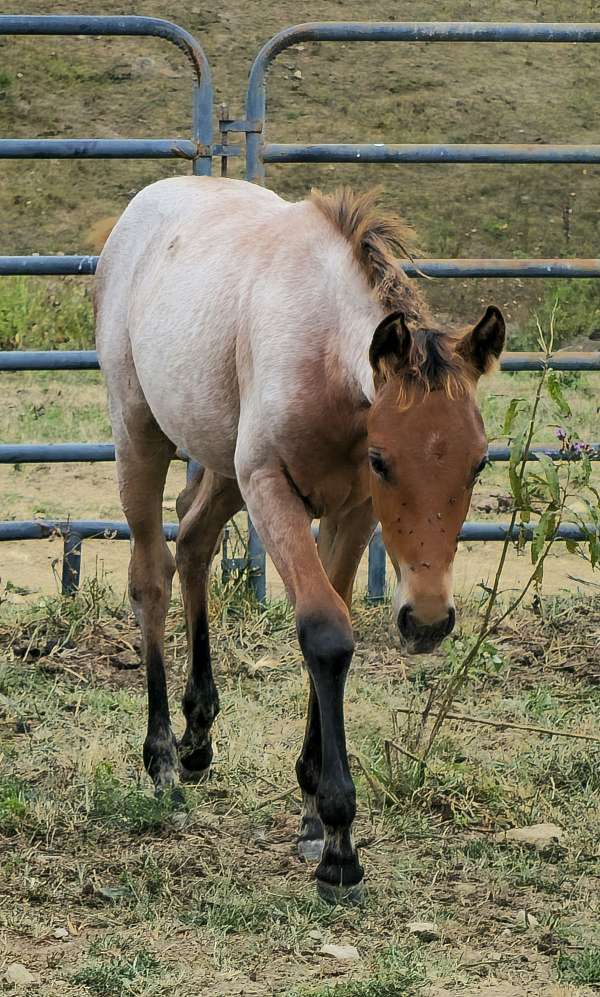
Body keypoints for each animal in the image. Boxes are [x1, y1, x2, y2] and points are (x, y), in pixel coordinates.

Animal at [95, 179, 506, 904]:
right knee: (151, 575)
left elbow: (336, 623)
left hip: (221, 466)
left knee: (194, 540)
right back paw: (163, 762)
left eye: (479, 462)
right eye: (383, 459)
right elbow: (325, 632)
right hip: (141, 437)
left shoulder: (351, 511)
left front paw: (313, 811)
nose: (427, 620)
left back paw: (198, 734)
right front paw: (339, 840)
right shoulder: (271, 487)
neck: (324, 358)